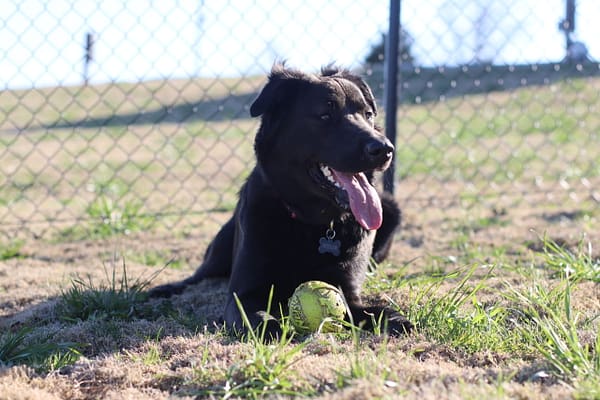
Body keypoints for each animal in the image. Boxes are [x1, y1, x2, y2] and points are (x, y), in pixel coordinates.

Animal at [150, 65, 412, 338]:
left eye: (368, 114)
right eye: (325, 115)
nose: (385, 149)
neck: (312, 223)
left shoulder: (348, 293)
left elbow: (375, 310)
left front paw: (396, 319)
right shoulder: (243, 295)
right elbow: (257, 317)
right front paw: (274, 329)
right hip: (219, 250)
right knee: (199, 276)